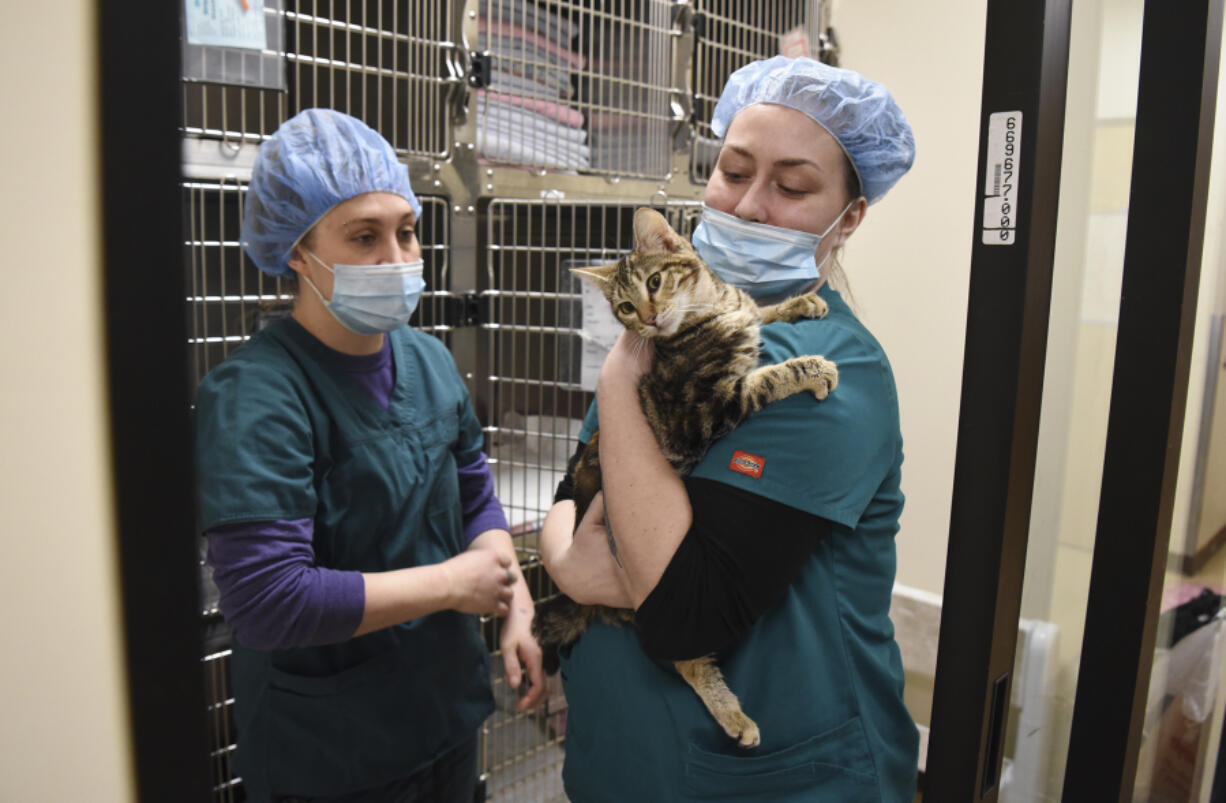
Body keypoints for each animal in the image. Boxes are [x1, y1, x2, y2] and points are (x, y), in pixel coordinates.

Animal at [536, 207, 843, 745]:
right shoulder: (700, 413)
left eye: (655, 282)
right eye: (624, 307)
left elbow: (758, 310)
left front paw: (796, 302)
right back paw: (733, 716)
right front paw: (808, 367)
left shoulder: (736, 312)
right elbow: (767, 378)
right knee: (682, 658)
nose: (649, 319)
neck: (709, 313)